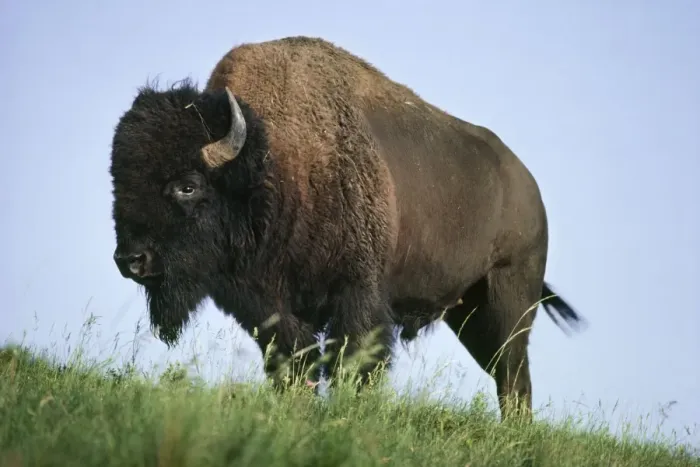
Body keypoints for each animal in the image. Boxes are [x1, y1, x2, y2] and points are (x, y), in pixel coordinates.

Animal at [110, 36, 585, 421]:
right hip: (467, 312)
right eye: (117, 180)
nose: (130, 260)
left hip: (508, 301)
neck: (274, 165)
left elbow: (355, 363)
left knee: (512, 374)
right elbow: (293, 362)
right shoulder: (271, 308)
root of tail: (529, 188)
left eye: (187, 186)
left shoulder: (356, 295)